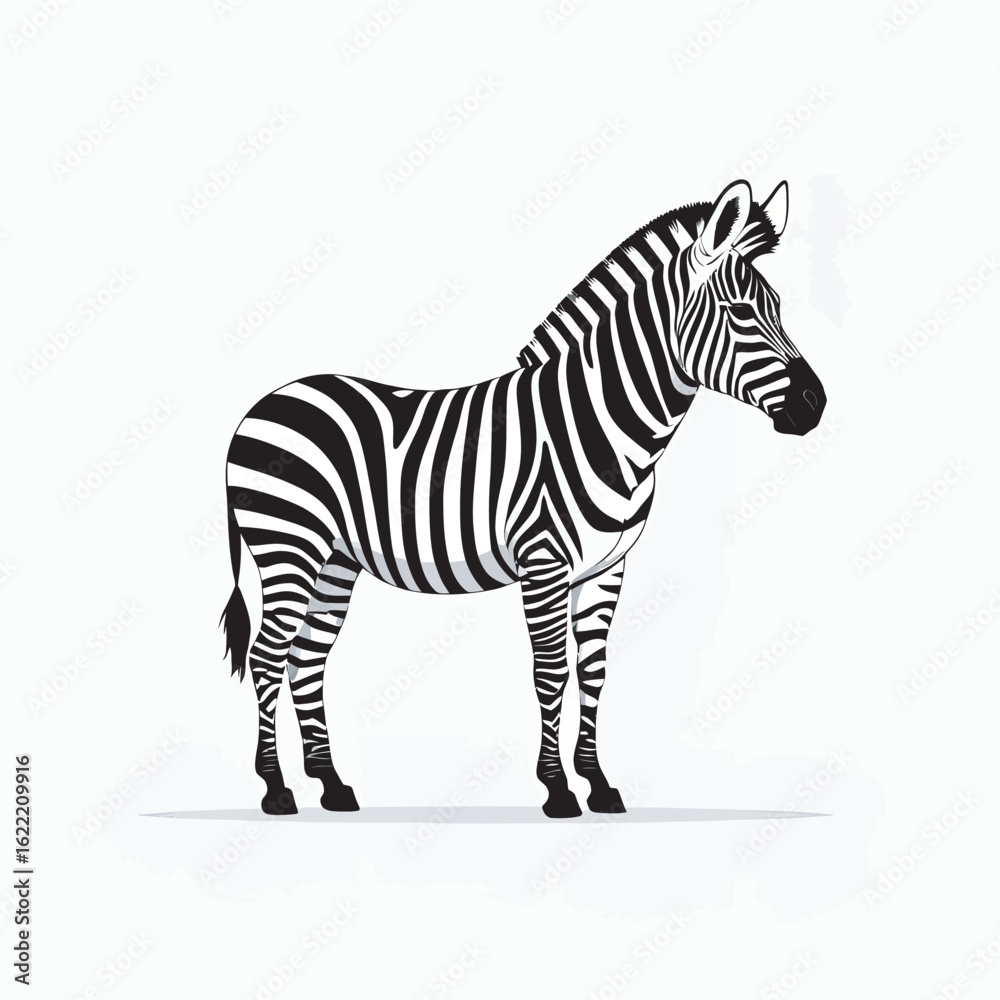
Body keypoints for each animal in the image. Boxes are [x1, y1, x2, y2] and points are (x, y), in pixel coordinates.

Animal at [220, 179, 826, 818]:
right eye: (741, 313)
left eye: (779, 309)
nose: (815, 405)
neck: (604, 423)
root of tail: (261, 404)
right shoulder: (544, 562)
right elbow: (551, 671)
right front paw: (558, 789)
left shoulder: (607, 568)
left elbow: (593, 671)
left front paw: (599, 783)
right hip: (287, 545)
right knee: (266, 657)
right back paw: (276, 789)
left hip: (335, 560)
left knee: (306, 659)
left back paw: (332, 785)